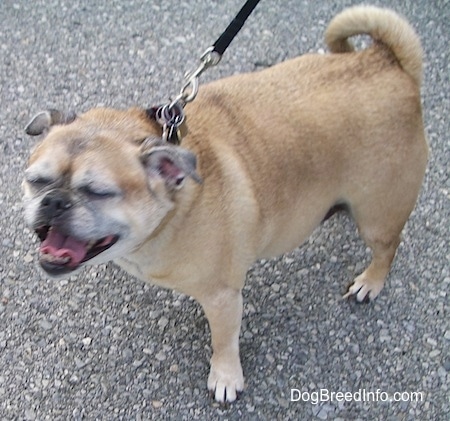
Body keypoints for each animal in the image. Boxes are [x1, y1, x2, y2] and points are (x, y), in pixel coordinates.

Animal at [23, 5, 426, 400]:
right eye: (36, 181)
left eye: (98, 192)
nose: (54, 202)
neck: (176, 206)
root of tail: (386, 61)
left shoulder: (222, 299)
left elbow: (224, 342)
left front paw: (226, 377)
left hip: (377, 218)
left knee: (387, 248)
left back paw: (370, 282)